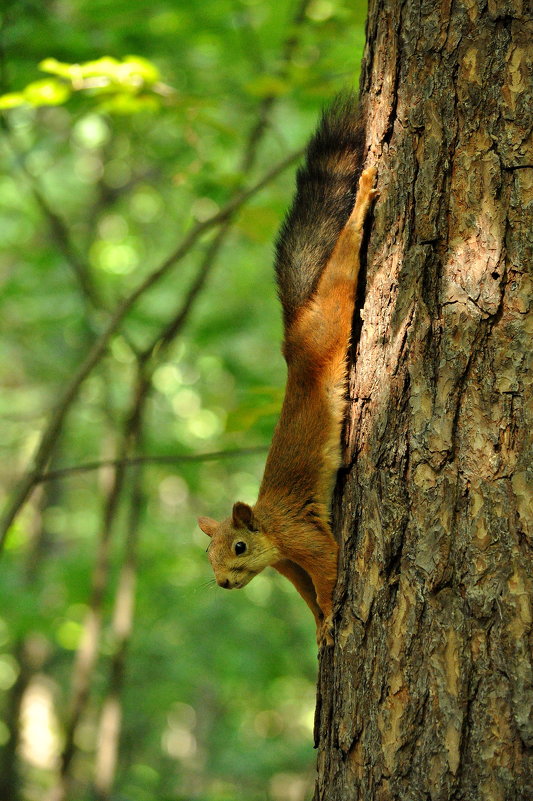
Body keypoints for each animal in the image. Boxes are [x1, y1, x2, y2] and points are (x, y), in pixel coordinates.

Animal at [197, 95, 376, 644]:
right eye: (207, 554)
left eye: (237, 547)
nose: (223, 583)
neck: (270, 537)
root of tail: (297, 334)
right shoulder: (286, 564)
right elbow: (304, 592)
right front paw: (319, 623)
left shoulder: (302, 537)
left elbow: (329, 568)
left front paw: (333, 613)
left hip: (332, 318)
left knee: (343, 266)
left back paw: (364, 199)